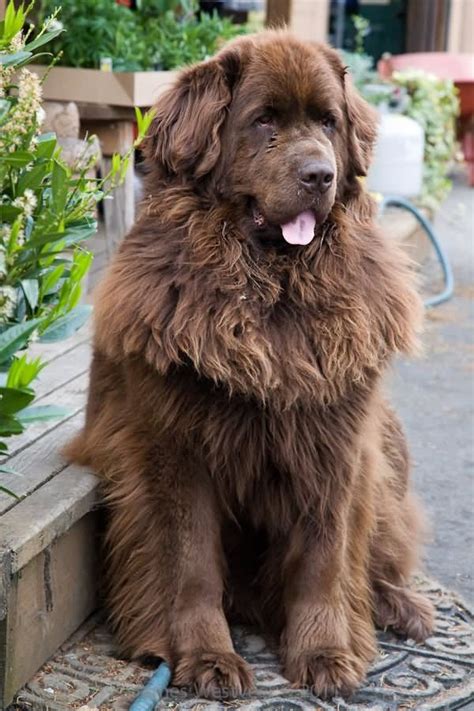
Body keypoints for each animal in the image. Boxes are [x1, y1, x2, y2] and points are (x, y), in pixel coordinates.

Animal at [66, 32, 434, 700]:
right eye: (263, 122)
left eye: (328, 122)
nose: (321, 173)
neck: (273, 296)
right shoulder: (176, 449)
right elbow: (190, 563)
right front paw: (205, 657)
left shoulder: (336, 445)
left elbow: (325, 556)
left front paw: (325, 653)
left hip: (387, 449)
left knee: (382, 549)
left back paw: (403, 607)